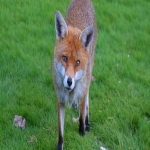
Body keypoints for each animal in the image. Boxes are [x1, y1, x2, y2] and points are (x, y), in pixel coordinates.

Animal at [52, 0, 97, 149]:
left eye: (78, 62)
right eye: (64, 58)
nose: (69, 81)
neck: (70, 92)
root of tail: (83, 1)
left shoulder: (82, 91)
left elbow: (82, 116)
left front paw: (82, 131)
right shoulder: (60, 100)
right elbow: (60, 133)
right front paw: (60, 146)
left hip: (89, 73)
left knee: (87, 97)